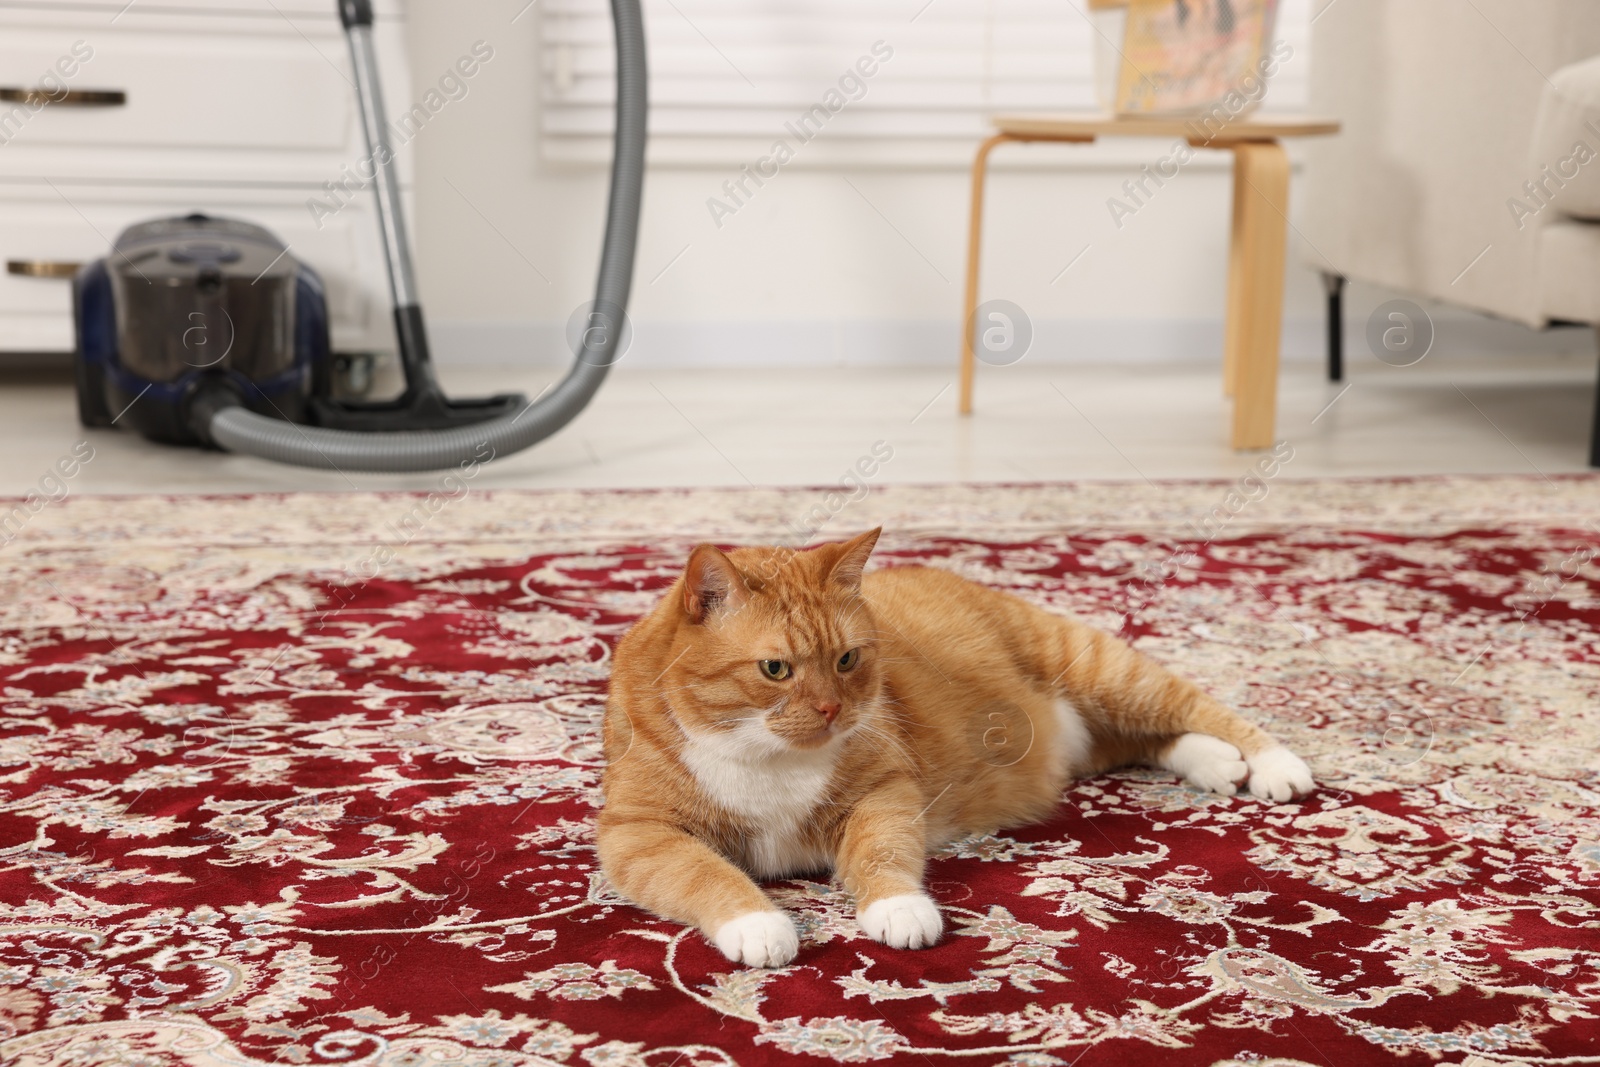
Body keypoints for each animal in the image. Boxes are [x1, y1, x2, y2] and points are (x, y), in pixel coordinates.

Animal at [601, 531, 1312, 972]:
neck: (766, 753)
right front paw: (757, 922)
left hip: (1102, 672)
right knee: (1146, 742)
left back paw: (1275, 764)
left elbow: (880, 849)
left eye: (847, 659)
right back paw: (1215, 762)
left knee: (1193, 708)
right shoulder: (637, 832)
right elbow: (702, 872)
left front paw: (897, 907)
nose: (833, 710)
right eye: (775, 669)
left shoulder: (885, 788)